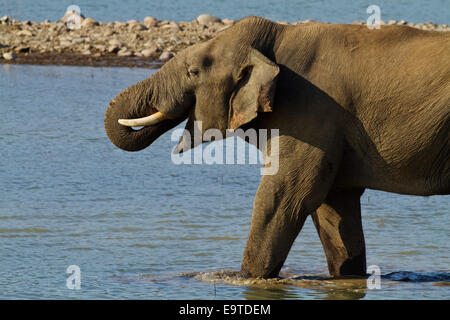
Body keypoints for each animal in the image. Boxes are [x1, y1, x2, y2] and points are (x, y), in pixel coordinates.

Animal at [103, 16, 448, 278]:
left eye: (193, 72)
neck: (277, 37)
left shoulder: (312, 112)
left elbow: (285, 195)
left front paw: (243, 278)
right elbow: (334, 203)